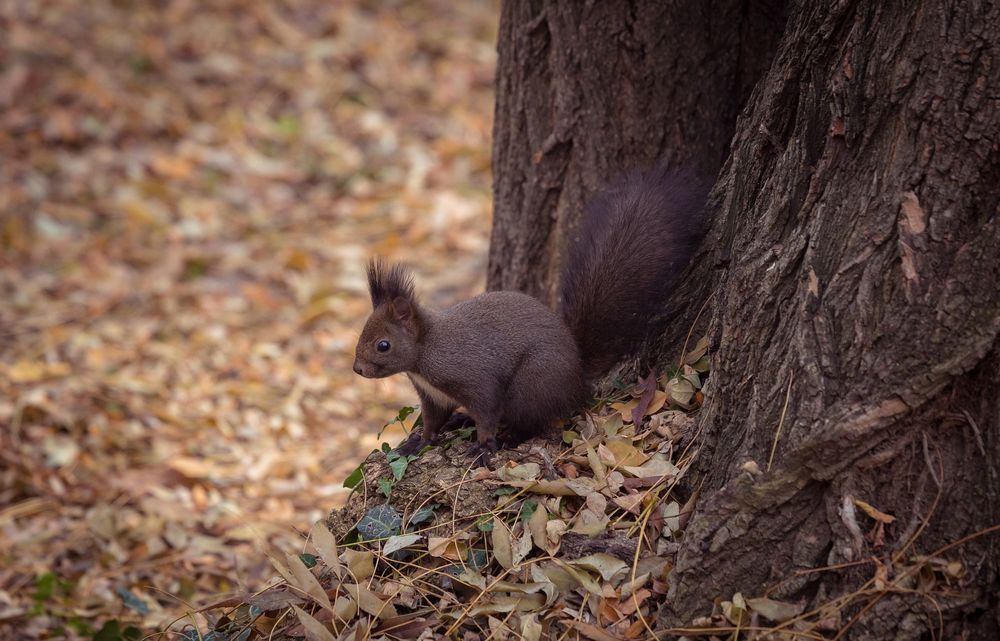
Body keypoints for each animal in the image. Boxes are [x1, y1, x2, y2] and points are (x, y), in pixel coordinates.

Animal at [353, 165, 708, 461]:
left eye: (383, 345)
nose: (357, 369)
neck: (426, 351)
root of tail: (578, 377)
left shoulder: (473, 378)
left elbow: (486, 412)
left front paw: (484, 445)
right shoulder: (432, 396)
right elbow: (431, 422)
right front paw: (419, 442)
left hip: (532, 383)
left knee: (531, 421)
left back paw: (509, 436)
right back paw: (462, 419)